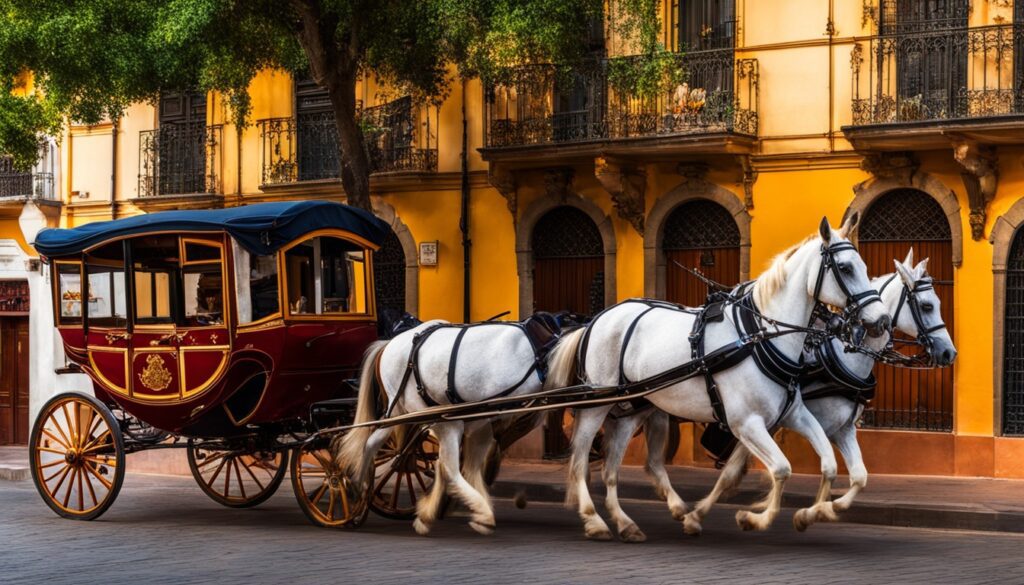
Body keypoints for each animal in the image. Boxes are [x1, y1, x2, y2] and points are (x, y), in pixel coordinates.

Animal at [544, 217, 888, 540]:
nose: (881, 320)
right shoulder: (746, 423)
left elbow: (829, 465)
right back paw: (594, 520)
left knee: (611, 469)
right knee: (580, 461)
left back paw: (626, 523)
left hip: (631, 408)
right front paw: (753, 518)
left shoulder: (793, 413)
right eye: (845, 268)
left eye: (864, 267)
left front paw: (809, 514)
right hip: (595, 404)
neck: (758, 336)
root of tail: (596, 319)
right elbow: (780, 469)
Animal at [684, 246, 954, 536]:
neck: (841, 355)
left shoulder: (839, 428)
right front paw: (705, 513)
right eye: (927, 306)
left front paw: (816, 511)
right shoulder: (775, 421)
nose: (949, 352)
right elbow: (733, 472)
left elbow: (858, 476)